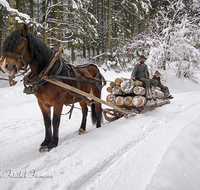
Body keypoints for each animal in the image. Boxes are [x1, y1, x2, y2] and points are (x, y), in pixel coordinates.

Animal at [0, 24, 105, 152]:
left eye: (19, 43)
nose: (3, 66)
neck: (48, 73)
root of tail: (94, 67)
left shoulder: (58, 102)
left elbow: (55, 121)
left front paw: (53, 143)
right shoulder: (42, 103)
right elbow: (47, 122)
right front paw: (46, 142)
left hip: (96, 93)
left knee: (98, 108)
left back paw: (99, 127)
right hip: (81, 96)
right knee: (84, 111)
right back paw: (82, 128)